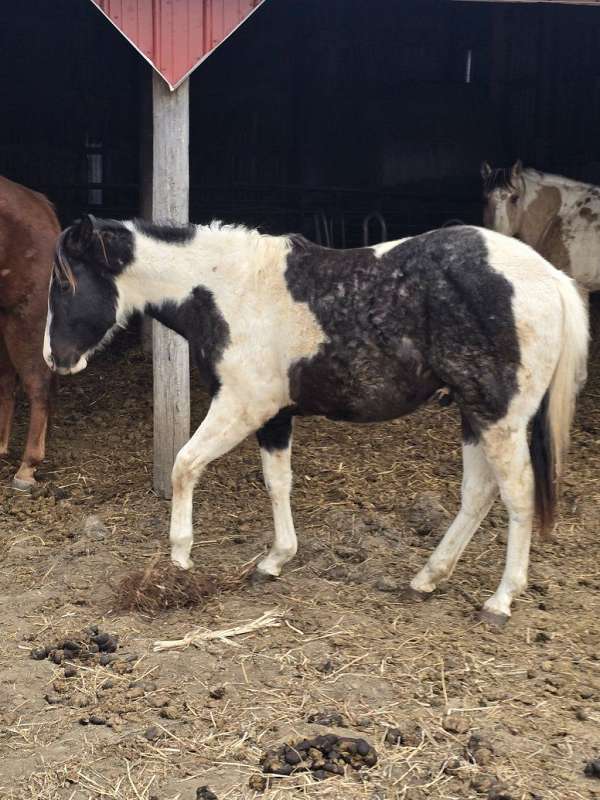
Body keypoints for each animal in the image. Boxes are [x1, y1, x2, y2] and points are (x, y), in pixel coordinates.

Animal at [43, 215, 588, 625]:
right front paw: (275, 561)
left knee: (517, 495)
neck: (227, 289)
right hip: (474, 414)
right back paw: (427, 578)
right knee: (477, 494)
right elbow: (277, 483)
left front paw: (178, 560)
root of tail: (552, 278)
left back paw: (500, 600)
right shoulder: (274, 417)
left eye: (66, 282)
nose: (56, 359)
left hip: (499, 418)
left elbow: (184, 465)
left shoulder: (239, 406)